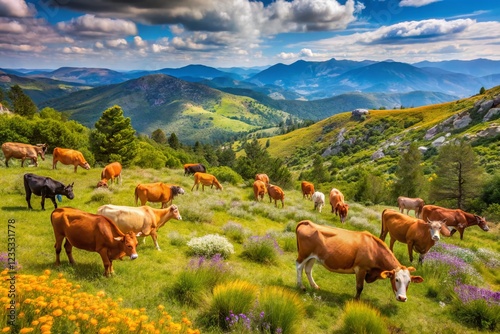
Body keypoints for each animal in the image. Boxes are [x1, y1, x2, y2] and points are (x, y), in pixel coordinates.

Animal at [294, 220, 424, 302]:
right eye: (396, 279)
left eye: (409, 282)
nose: (402, 298)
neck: (374, 248)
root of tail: (308, 222)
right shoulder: (361, 269)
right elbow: (360, 287)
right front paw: (356, 299)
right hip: (304, 254)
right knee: (299, 267)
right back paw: (301, 286)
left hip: (313, 257)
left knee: (308, 269)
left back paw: (314, 286)